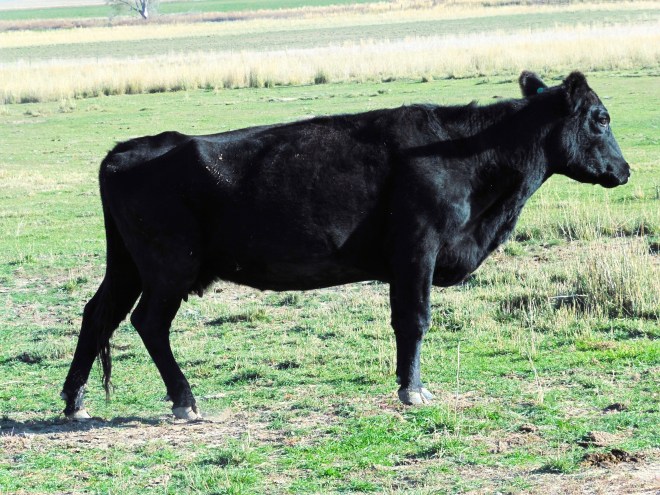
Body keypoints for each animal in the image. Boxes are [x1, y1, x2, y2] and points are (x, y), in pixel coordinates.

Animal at [61, 71, 630, 420]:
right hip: (169, 269)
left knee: (98, 313)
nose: (624, 170)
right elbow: (413, 320)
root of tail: (130, 148)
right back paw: (184, 401)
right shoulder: (417, 250)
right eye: (601, 118)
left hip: (128, 266)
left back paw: (73, 401)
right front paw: (413, 390)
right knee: (147, 322)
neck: (467, 152)